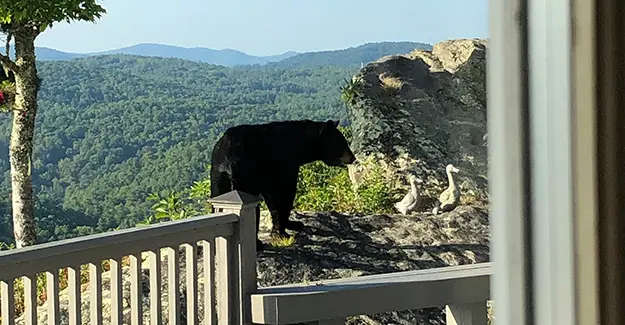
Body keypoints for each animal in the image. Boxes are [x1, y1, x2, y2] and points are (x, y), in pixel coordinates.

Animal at [210, 120, 356, 249]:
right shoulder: (284, 164)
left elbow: (272, 198)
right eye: (342, 142)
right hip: (245, 176)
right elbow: (284, 193)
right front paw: (286, 229)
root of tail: (226, 160)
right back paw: (257, 244)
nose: (353, 158)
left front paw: (288, 225)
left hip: (218, 179)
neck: (300, 144)